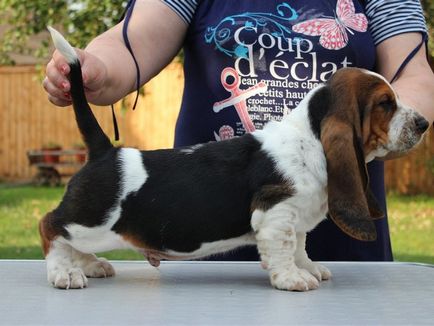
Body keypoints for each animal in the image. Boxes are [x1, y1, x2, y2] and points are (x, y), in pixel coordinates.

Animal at [39, 27, 428, 290]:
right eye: (385, 104)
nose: (424, 123)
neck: (312, 139)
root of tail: (106, 151)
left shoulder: (295, 218)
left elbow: (299, 245)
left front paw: (309, 268)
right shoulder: (276, 213)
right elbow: (284, 248)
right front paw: (293, 279)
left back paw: (91, 265)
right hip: (91, 219)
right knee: (50, 227)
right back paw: (65, 272)